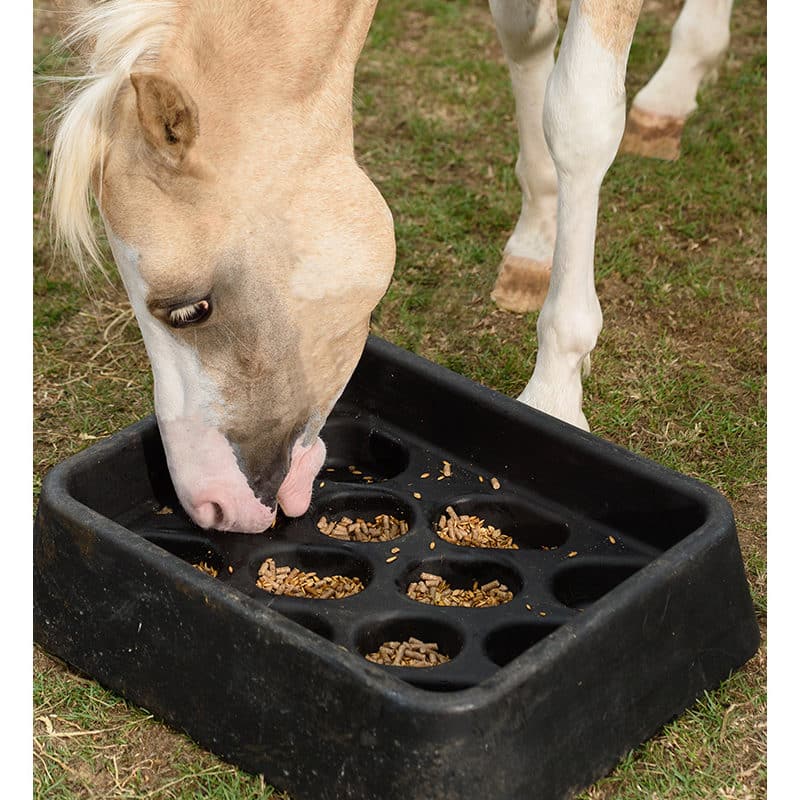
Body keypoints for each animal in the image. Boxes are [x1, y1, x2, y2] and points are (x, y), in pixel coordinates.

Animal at [45, 0, 732, 534]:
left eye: (191, 310)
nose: (208, 505)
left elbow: (579, 118)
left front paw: (556, 393)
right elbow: (525, 35)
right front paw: (536, 239)